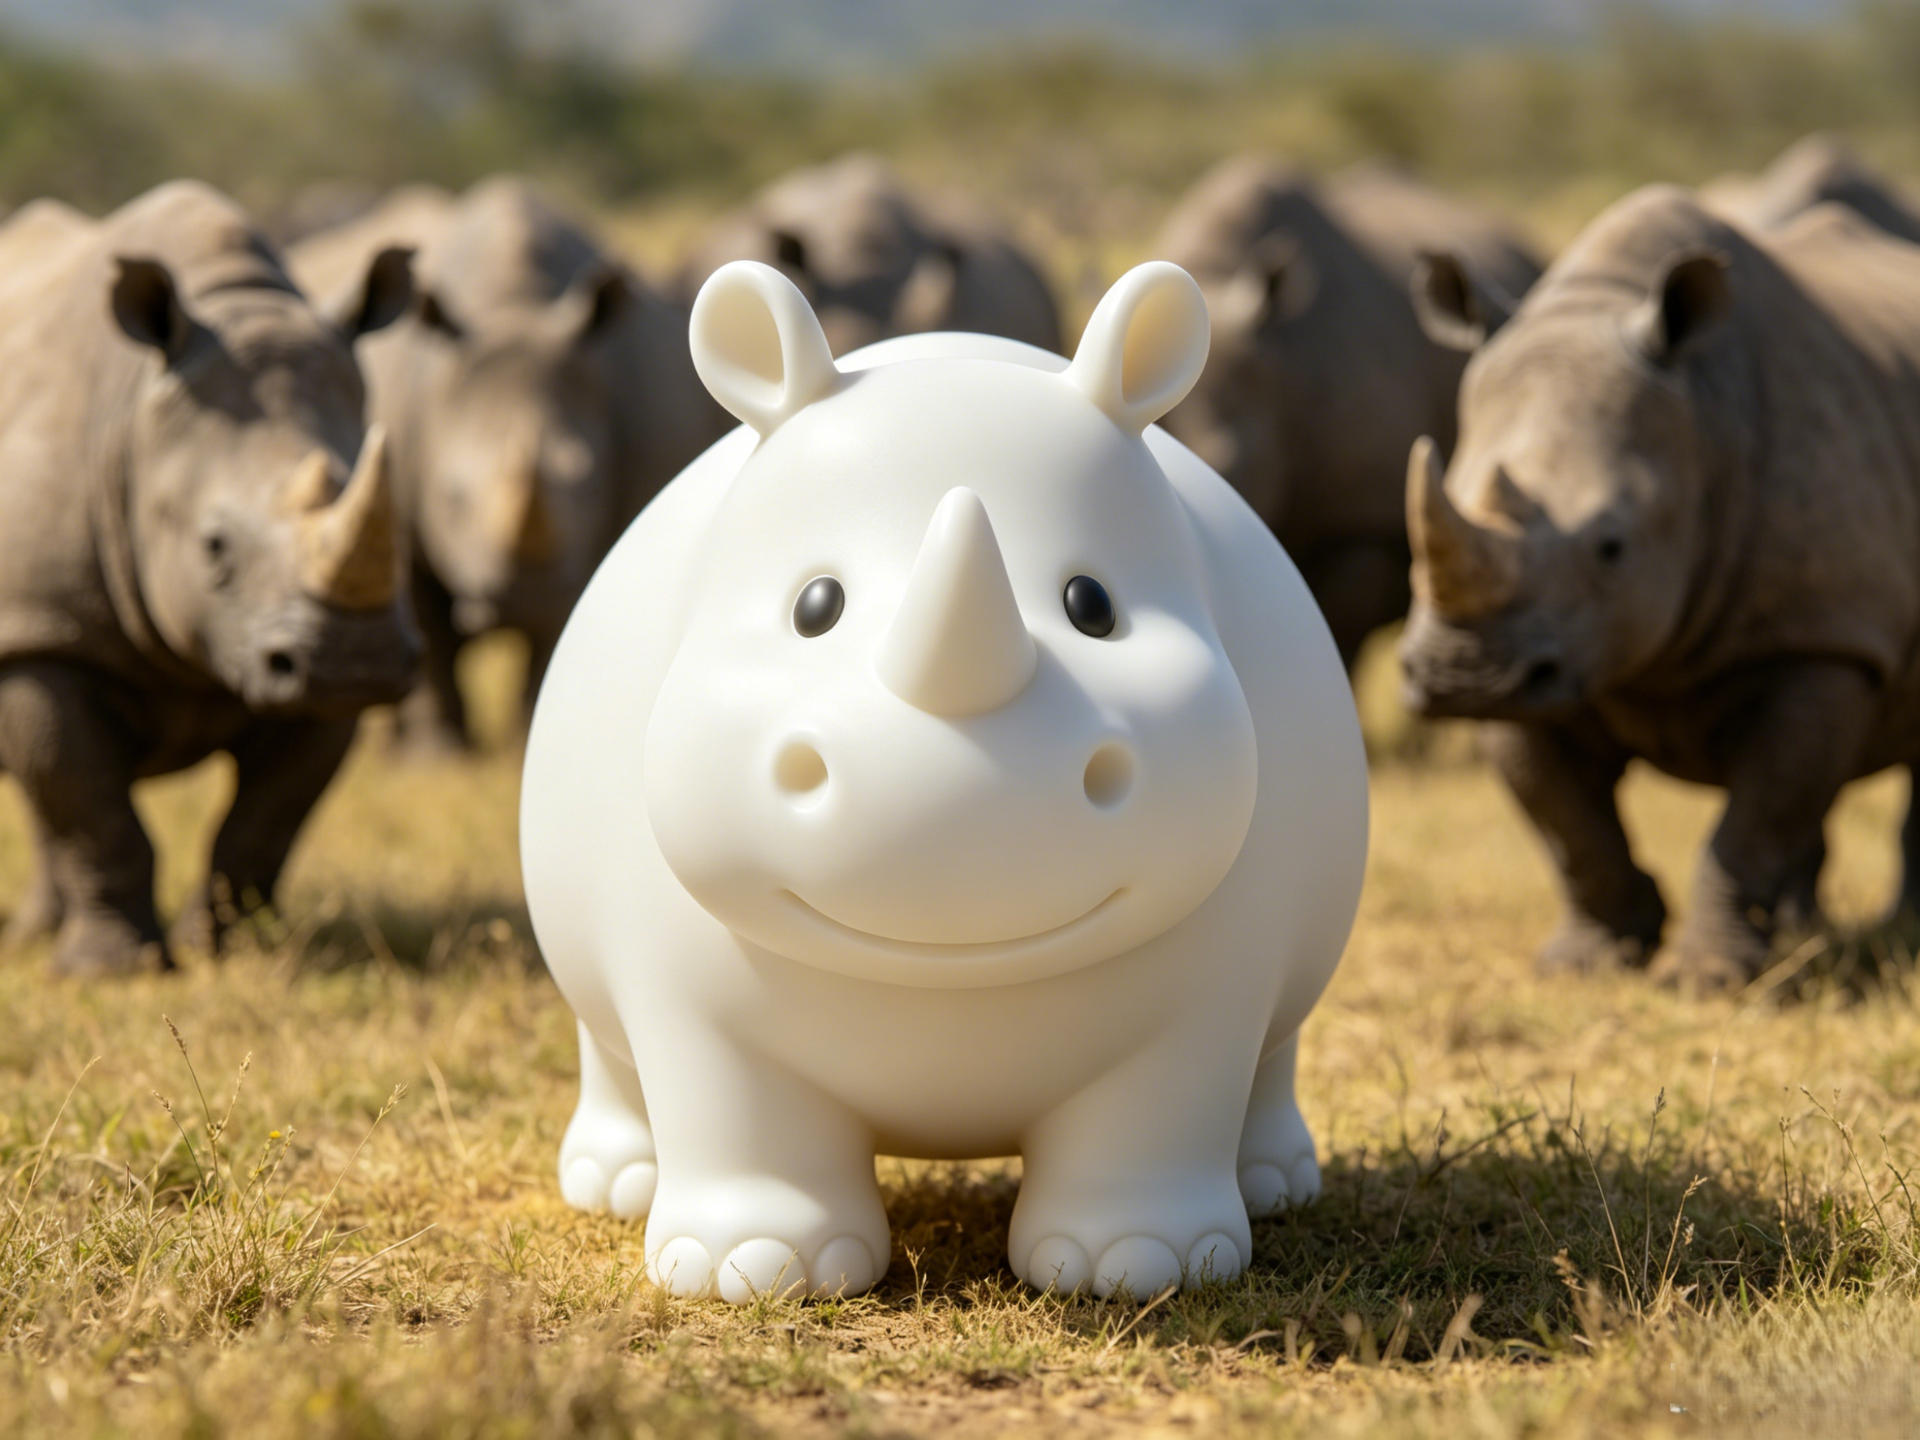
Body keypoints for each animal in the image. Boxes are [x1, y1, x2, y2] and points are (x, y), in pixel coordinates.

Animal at [0, 181, 418, 976]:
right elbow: (90, 809)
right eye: (214, 545)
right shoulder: (41, 630)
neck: (131, 422)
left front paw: (235, 956)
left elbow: (266, 820)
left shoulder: (307, 676)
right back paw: (37, 944)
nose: (357, 662)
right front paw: (114, 972)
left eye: (404, 531)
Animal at [291, 178, 728, 749]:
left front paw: (534, 738)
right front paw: (440, 755)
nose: (524, 599)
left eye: (588, 480)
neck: (512, 304)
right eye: (451, 496)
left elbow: (561, 628)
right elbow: (425, 622)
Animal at [1400, 183, 1920, 987]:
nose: (1457, 677)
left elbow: (1757, 818)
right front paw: (1586, 964)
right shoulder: (1536, 661)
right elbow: (1566, 821)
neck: (1705, 422)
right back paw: (1804, 928)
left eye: (1612, 547)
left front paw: (1711, 980)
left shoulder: (1825, 639)